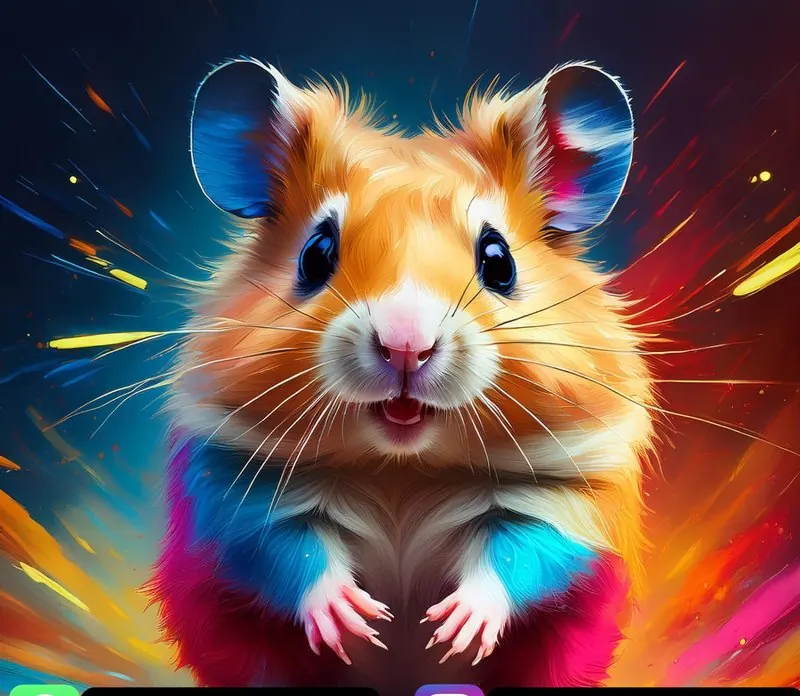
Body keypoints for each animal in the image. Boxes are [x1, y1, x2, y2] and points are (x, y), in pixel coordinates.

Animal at [146, 57, 655, 694]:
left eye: (499, 261)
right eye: (315, 254)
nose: (405, 345)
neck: (402, 471)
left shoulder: (571, 503)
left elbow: (519, 556)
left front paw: (452, 628)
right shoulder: (232, 494)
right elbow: (289, 552)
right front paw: (356, 621)